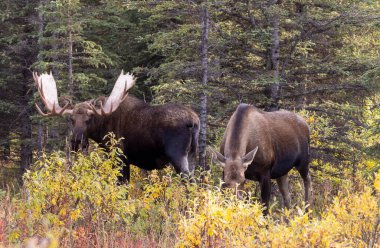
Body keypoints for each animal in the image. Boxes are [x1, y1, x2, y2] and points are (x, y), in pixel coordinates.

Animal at [33, 70, 199, 181]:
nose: (77, 141)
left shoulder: (120, 156)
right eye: (71, 119)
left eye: (89, 119)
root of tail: (194, 121)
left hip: (178, 155)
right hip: (192, 155)